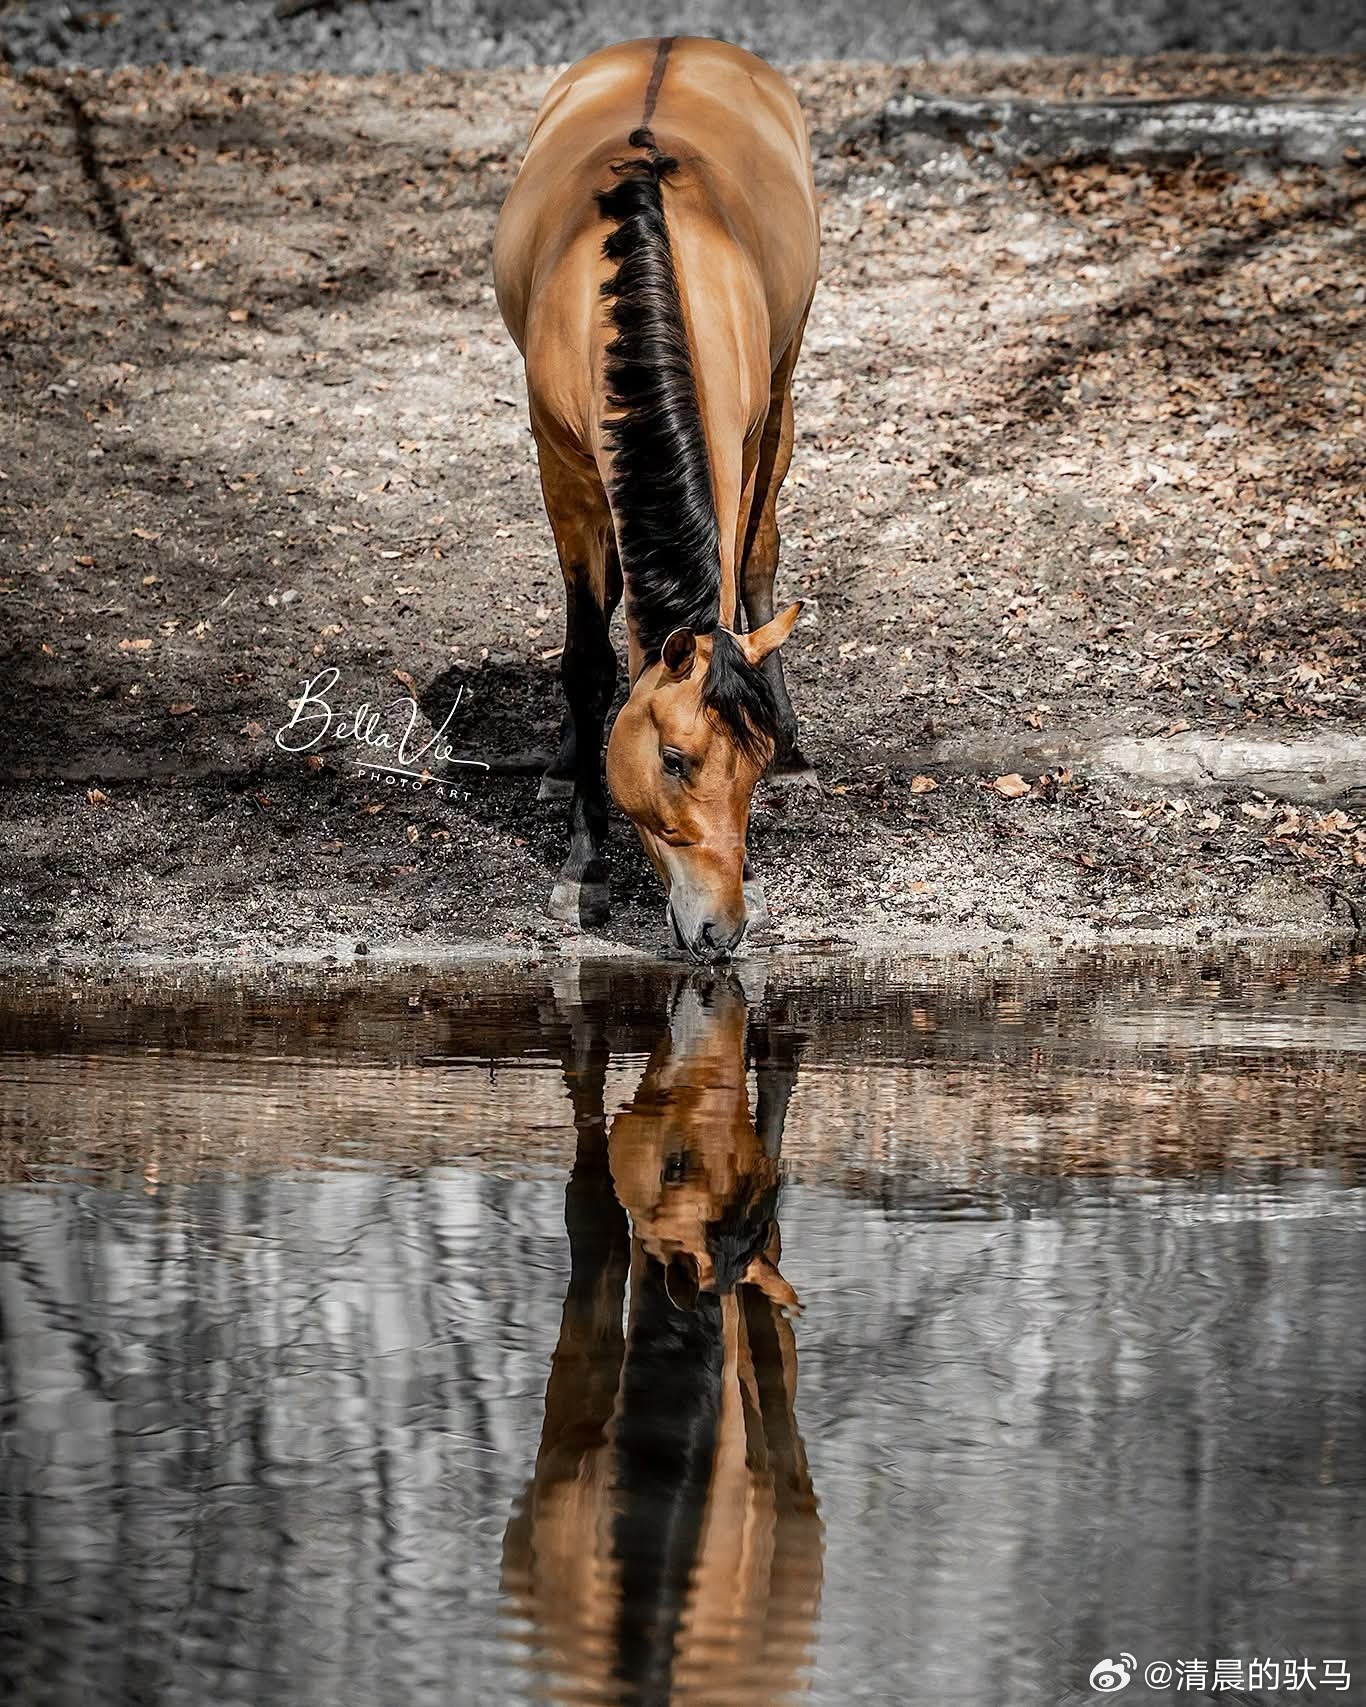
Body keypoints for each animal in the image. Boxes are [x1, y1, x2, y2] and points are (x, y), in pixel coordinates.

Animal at [493, 37, 820, 962]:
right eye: (674, 759)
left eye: (751, 767)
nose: (721, 929)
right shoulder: (564, 470)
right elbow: (588, 659)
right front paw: (582, 870)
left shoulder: (739, 443)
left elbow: (741, 561)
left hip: (785, 378)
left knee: (760, 550)